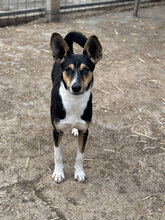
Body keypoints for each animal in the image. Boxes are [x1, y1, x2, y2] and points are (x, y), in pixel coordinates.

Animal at [49, 31, 102, 182]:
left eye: (86, 70)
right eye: (68, 70)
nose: (76, 87)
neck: (74, 101)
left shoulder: (85, 131)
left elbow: (80, 156)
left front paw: (79, 172)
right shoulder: (56, 131)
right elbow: (58, 155)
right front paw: (58, 173)